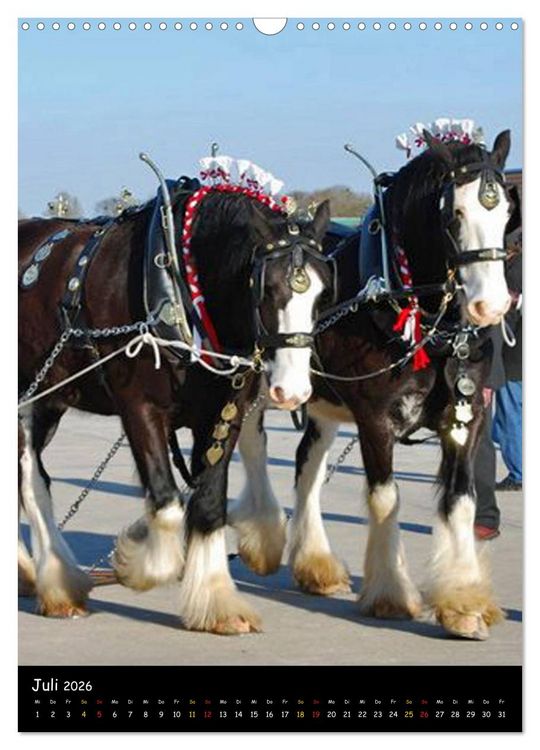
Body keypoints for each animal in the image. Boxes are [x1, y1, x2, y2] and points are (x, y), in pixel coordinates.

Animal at [18, 180, 332, 635]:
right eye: (268, 289)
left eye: (323, 294)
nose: (292, 390)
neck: (179, 288)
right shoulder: (139, 408)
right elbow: (167, 503)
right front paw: (135, 562)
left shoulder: (221, 415)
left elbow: (208, 504)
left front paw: (217, 602)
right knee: (32, 483)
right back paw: (58, 584)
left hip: (49, 401)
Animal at [230, 130, 518, 640]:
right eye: (455, 213)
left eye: (505, 211)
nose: (491, 305)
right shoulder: (375, 419)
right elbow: (386, 497)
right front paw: (390, 594)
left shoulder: (465, 419)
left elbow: (461, 501)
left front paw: (464, 601)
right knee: (254, 446)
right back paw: (264, 537)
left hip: (318, 399)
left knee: (307, 465)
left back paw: (316, 564)